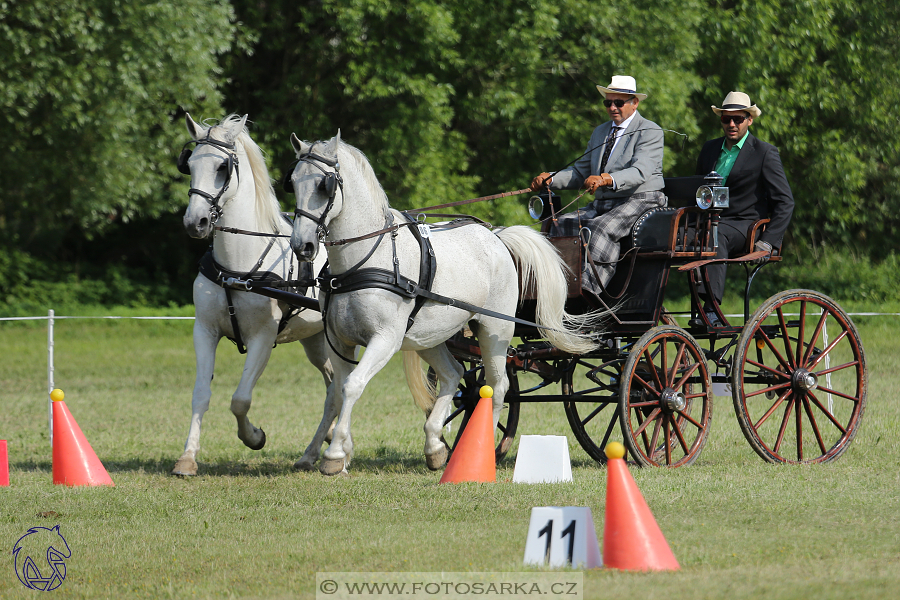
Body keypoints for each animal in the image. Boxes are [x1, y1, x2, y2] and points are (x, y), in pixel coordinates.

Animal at [178, 115, 340, 476]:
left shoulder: (263, 338)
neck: (237, 265)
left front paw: (253, 437)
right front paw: (187, 457)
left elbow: (240, 399)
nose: (195, 222)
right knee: (334, 386)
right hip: (317, 341)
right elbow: (200, 394)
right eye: (189, 164)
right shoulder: (203, 331)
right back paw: (316, 447)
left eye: (222, 167)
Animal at [284, 131, 600, 474]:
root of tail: (497, 237)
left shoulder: (385, 339)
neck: (363, 260)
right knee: (454, 374)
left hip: (494, 331)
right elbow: (338, 392)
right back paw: (435, 446)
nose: (302, 246)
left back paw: (483, 451)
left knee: (497, 386)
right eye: (293, 182)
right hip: (429, 337)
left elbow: (352, 385)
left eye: (323, 185)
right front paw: (337, 452)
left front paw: (333, 455)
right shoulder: (338, 340)